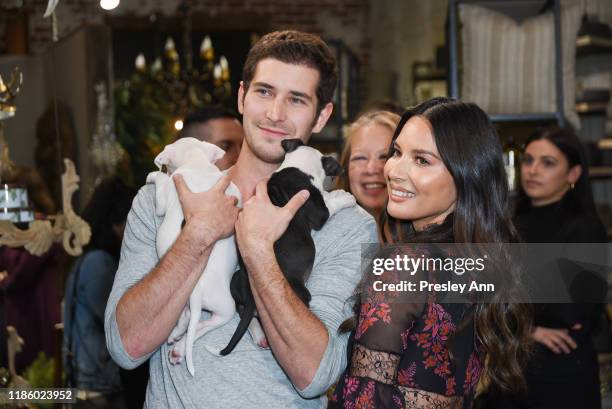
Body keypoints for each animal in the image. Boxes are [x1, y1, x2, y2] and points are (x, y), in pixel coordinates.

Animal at [148, 138, 241, 376]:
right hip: (225, 307)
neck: (197, 162)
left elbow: (162, 181)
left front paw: (152, 175)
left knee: (188, 318)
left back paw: (176, 339)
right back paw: (179, 341)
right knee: (201, 324)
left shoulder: (164, 198)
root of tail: (198, 292)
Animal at [220, 138, 344, 354]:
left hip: (236, 280)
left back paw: (259, 335)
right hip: (299, 293)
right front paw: (345, 197)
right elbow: (329, 205)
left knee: (243, 310)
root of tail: (253, 297)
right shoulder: (319, 213)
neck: (299, 167)